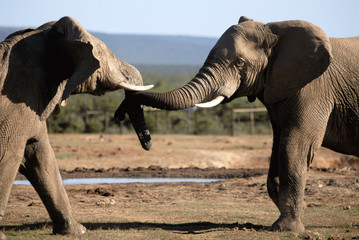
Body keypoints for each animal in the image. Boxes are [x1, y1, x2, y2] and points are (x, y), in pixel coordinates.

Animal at [0, 16, 153, 238]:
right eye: (102, 54)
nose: (147, 145)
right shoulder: (18, 97)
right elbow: (9, 154)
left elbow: (41, 156)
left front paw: (77, 232)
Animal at [117, 15, 359, 232]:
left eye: (240, 63)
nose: (119, 114)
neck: (275, 29)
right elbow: (278, 147)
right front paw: (300, 211)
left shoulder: (314, 90)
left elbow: (294, 147)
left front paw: (286, 229)